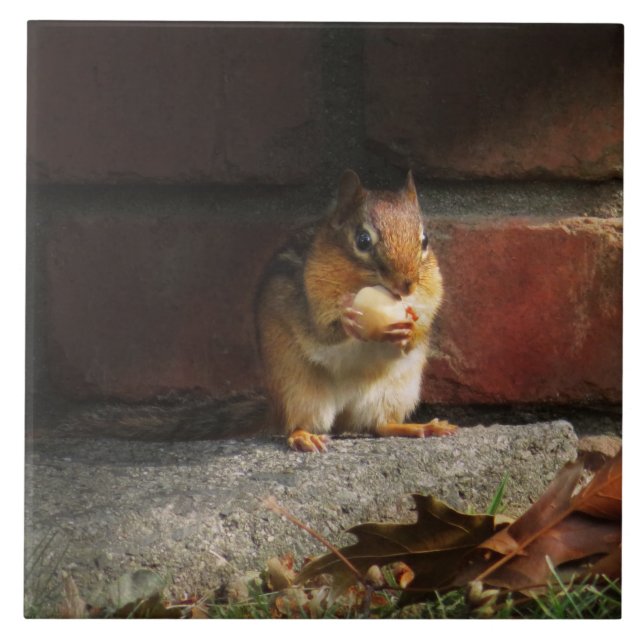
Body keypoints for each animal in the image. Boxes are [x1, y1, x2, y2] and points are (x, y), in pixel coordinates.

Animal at [255, 169, 457, 452]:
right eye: (363, 241)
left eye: (425, 240)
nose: (407, 285)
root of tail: (344, 415)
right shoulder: (313, 300)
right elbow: (322, 332)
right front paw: (347, 320)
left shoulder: (431, 295)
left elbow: (422, 324)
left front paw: (410, 329)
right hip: (296, 388)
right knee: (297, 423)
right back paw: (304, 436)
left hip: (396, 391)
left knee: (380, 425)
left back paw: (423, 427)